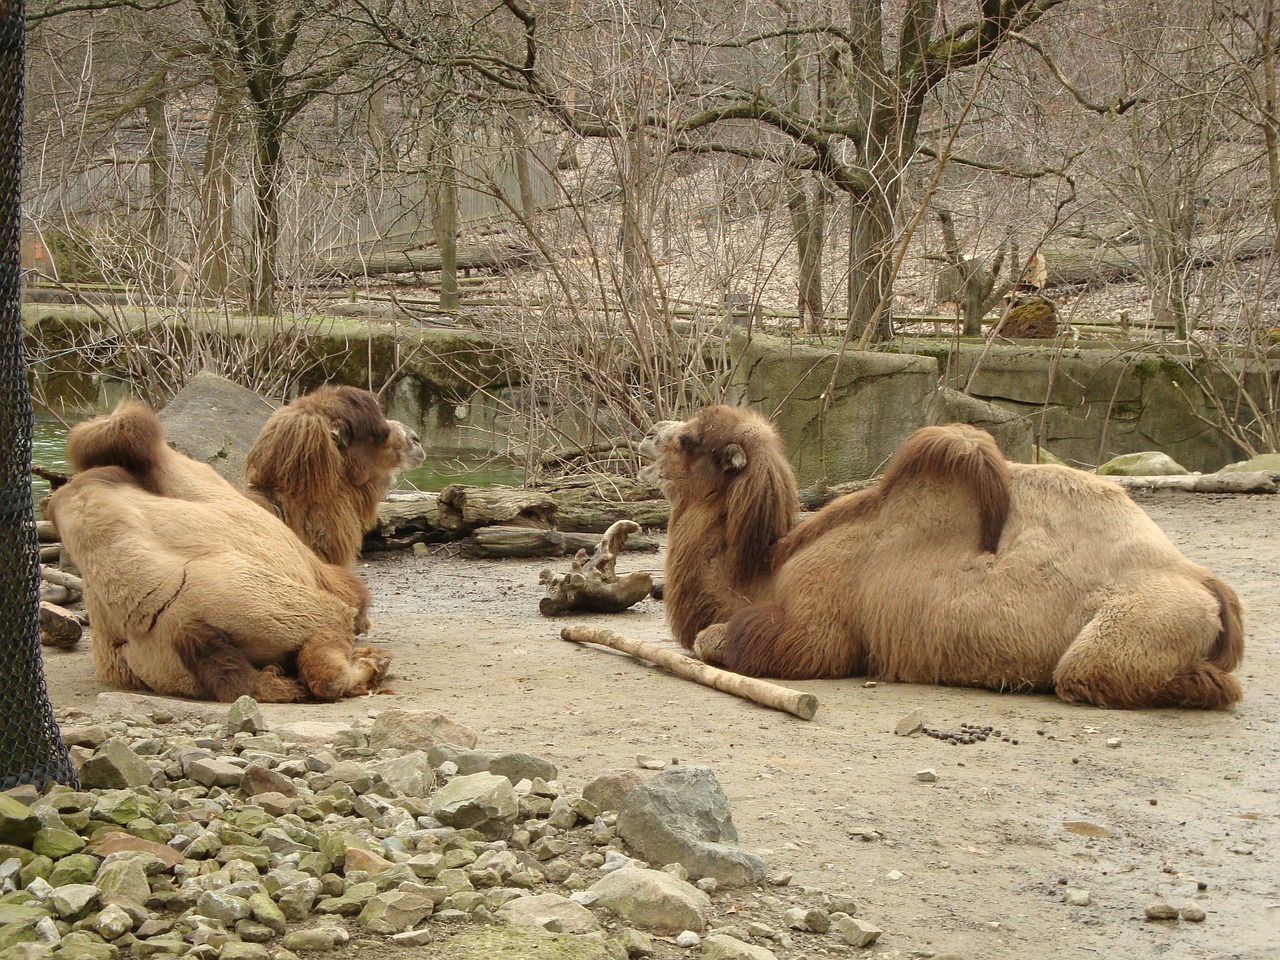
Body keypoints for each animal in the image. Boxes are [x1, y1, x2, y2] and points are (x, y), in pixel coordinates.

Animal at [645, 401, 1244, 711]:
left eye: (692, 440)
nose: (653, 432)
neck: (765, 573)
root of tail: (1206, 585)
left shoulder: (816, 630)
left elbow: (715, 641)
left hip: (1128, 631)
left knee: (1098, 673)